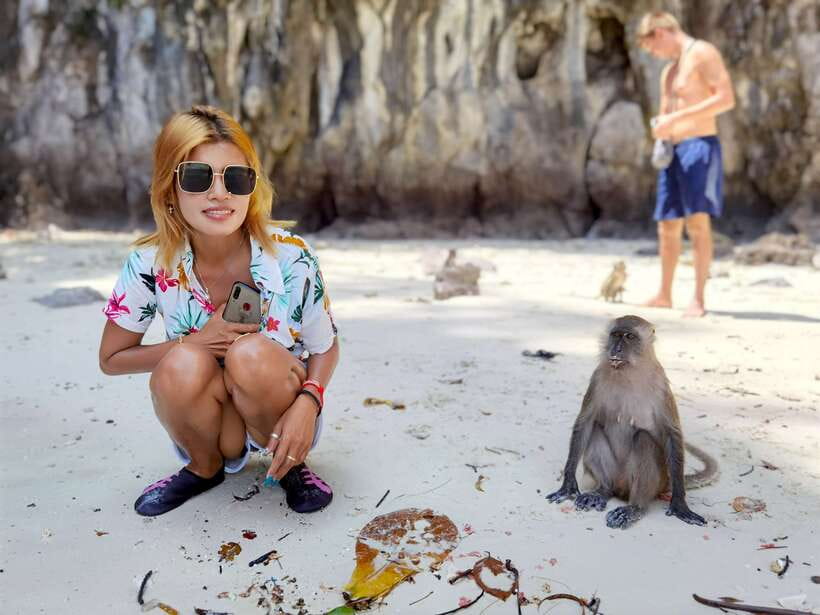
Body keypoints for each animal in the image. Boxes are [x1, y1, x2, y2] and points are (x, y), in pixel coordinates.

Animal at [546, 315, 718, 529]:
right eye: (615, 335)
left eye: (629, 337)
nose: (616, 349)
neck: (629, 371)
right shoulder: (598, 377)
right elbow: (585, 422)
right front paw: (568, 483)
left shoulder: (661, 385)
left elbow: (672, 433)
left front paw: (679, 502)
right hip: (616, 476)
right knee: (595, 432)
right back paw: (603, 490)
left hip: (654, 482)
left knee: (643, 439)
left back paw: (635, 507)